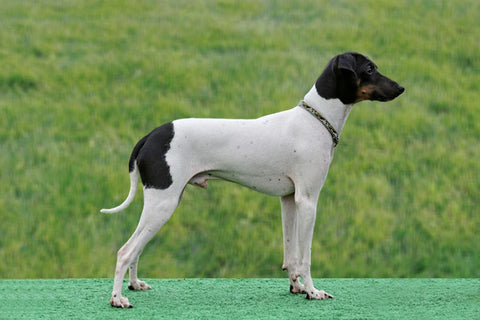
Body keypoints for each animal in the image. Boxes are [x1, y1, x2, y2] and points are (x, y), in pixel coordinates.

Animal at [102, 52, 404, 308]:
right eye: (369, 69)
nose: (401, 88)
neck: (314, 121)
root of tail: (150, 136)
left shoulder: (289, 200)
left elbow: (291, 254)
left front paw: (296, 287)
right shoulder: (308, 201)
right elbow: (305, 256)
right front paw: (312, 291)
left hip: (161, 204)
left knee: (137, 249)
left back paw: (134, 284)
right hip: (162, 205)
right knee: (125, 251)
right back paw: (117, 299)